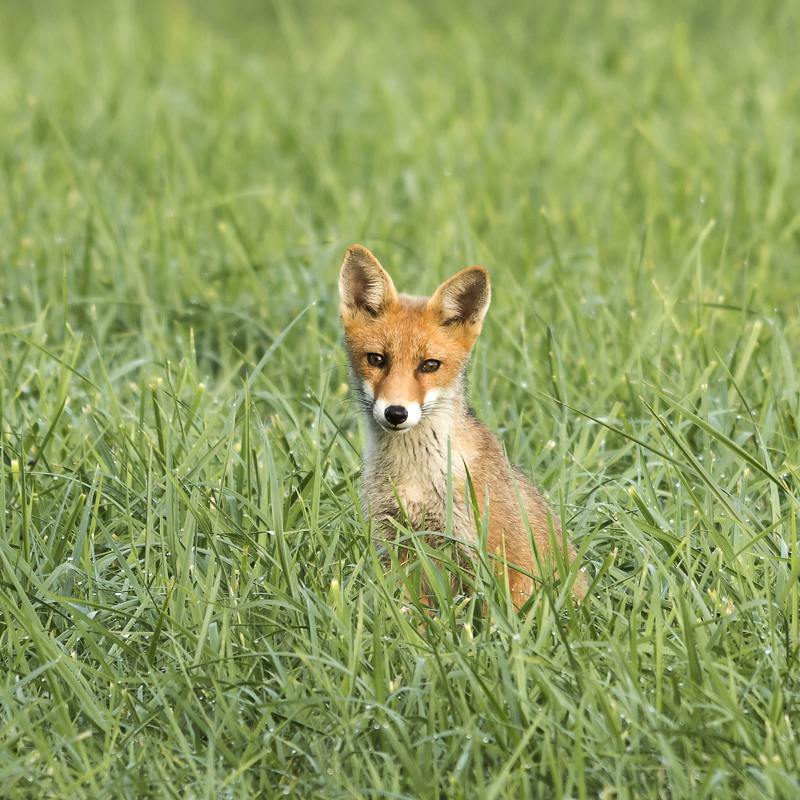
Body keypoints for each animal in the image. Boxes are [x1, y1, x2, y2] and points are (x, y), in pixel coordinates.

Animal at [340, 244, 588, 608]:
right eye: (376, 359)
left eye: (430, 365)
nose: (396, 413)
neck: (416, 479)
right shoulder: (395, 546)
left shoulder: (494, 560)